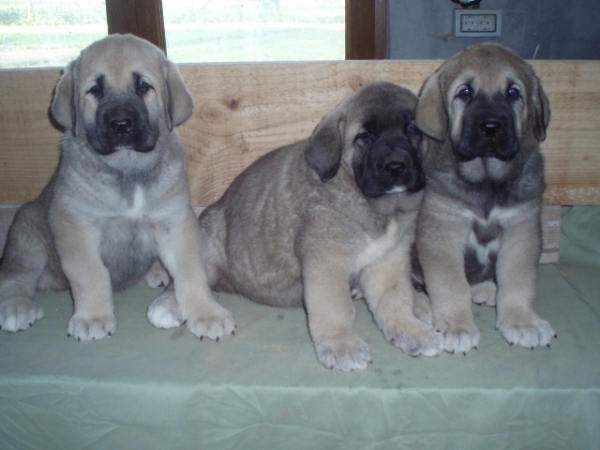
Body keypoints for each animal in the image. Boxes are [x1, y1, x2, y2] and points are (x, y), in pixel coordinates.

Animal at [0, 34, 234, 342]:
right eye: (96, 90)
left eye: (143, 86)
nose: (121, 124)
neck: (127, 171)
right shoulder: (76, 227)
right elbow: (91, 274)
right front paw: (92, 318)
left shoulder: (175, 224)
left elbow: (191, 272)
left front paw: (206, 313)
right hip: (26, 237)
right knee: (14, 278)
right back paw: (16, 307)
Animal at [148, 81, 442, 372]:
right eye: (365, 136)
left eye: (411, 130)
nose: (396, 167)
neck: (376, 205)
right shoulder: (327, 260)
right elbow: (334, 307)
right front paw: (342, 345)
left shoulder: (388, 258)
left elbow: (395, 299)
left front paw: (412, 332)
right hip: (212, 232)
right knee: (190, 275)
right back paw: (174, 307)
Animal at [414, 43, 556, 356]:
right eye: (465, 92)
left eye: (513, 92)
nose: (491, 126)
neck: (487, 181)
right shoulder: (442, 232)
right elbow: (450, 285)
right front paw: (457, 326)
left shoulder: (522, 230)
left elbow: (518, 280)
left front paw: (521, 321)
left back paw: (487, 289)